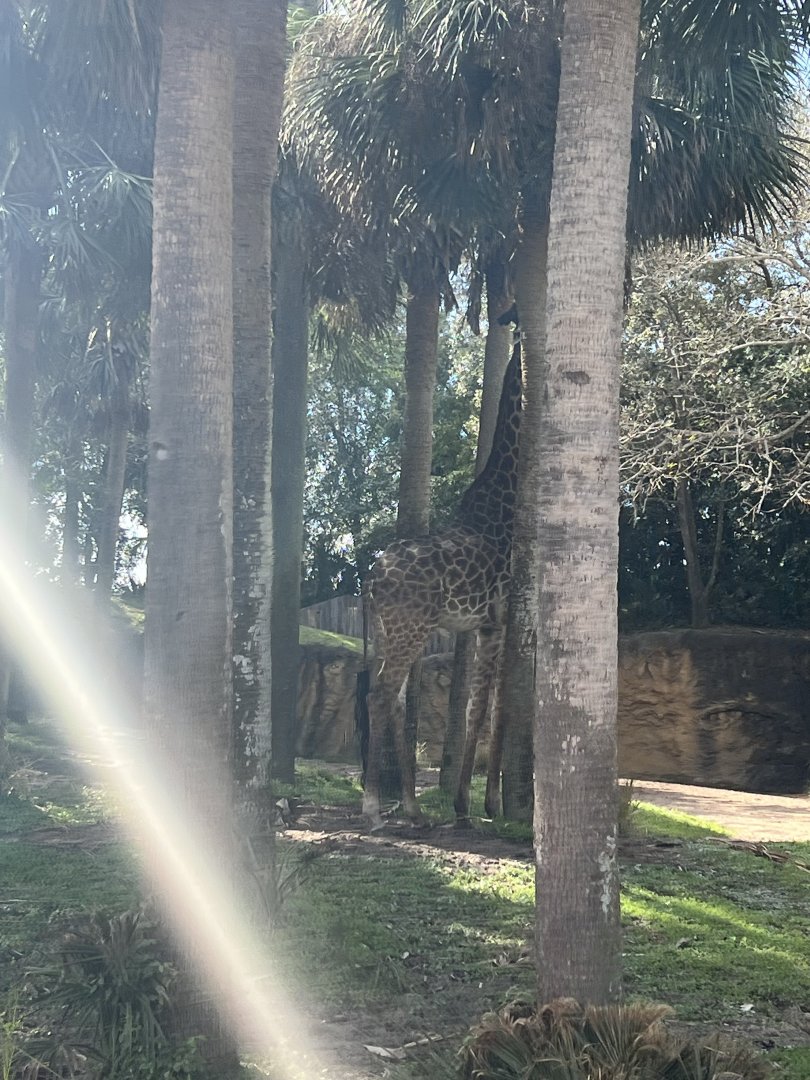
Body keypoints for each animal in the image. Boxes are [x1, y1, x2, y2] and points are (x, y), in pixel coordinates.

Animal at [362, 322, 522, 829]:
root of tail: (370, 581)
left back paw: (413, 808)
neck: (503, 504)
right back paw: (372, 807)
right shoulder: (501, 618)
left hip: (388, 631)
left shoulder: (485, 623)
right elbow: (487, 707)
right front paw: (472, 804)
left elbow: (484, 706)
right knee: (380, 694)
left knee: (394, 699)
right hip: (409, 630)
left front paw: (481, 802)